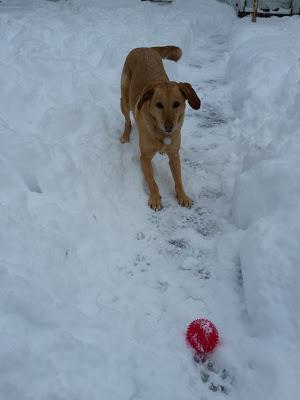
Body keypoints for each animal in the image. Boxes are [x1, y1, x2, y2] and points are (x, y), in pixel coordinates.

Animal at [120, 45, 202, 211]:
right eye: (159, 105)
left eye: (176, 104)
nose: (169, 127)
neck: (161, 134)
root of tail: (144, 47)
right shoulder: (144, 158)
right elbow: (152, 180)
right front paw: (155, 198)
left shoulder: (174, 155)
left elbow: (178, 179)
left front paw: (182, 195)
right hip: (124, 99)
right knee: (128, 120)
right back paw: (125, 136)